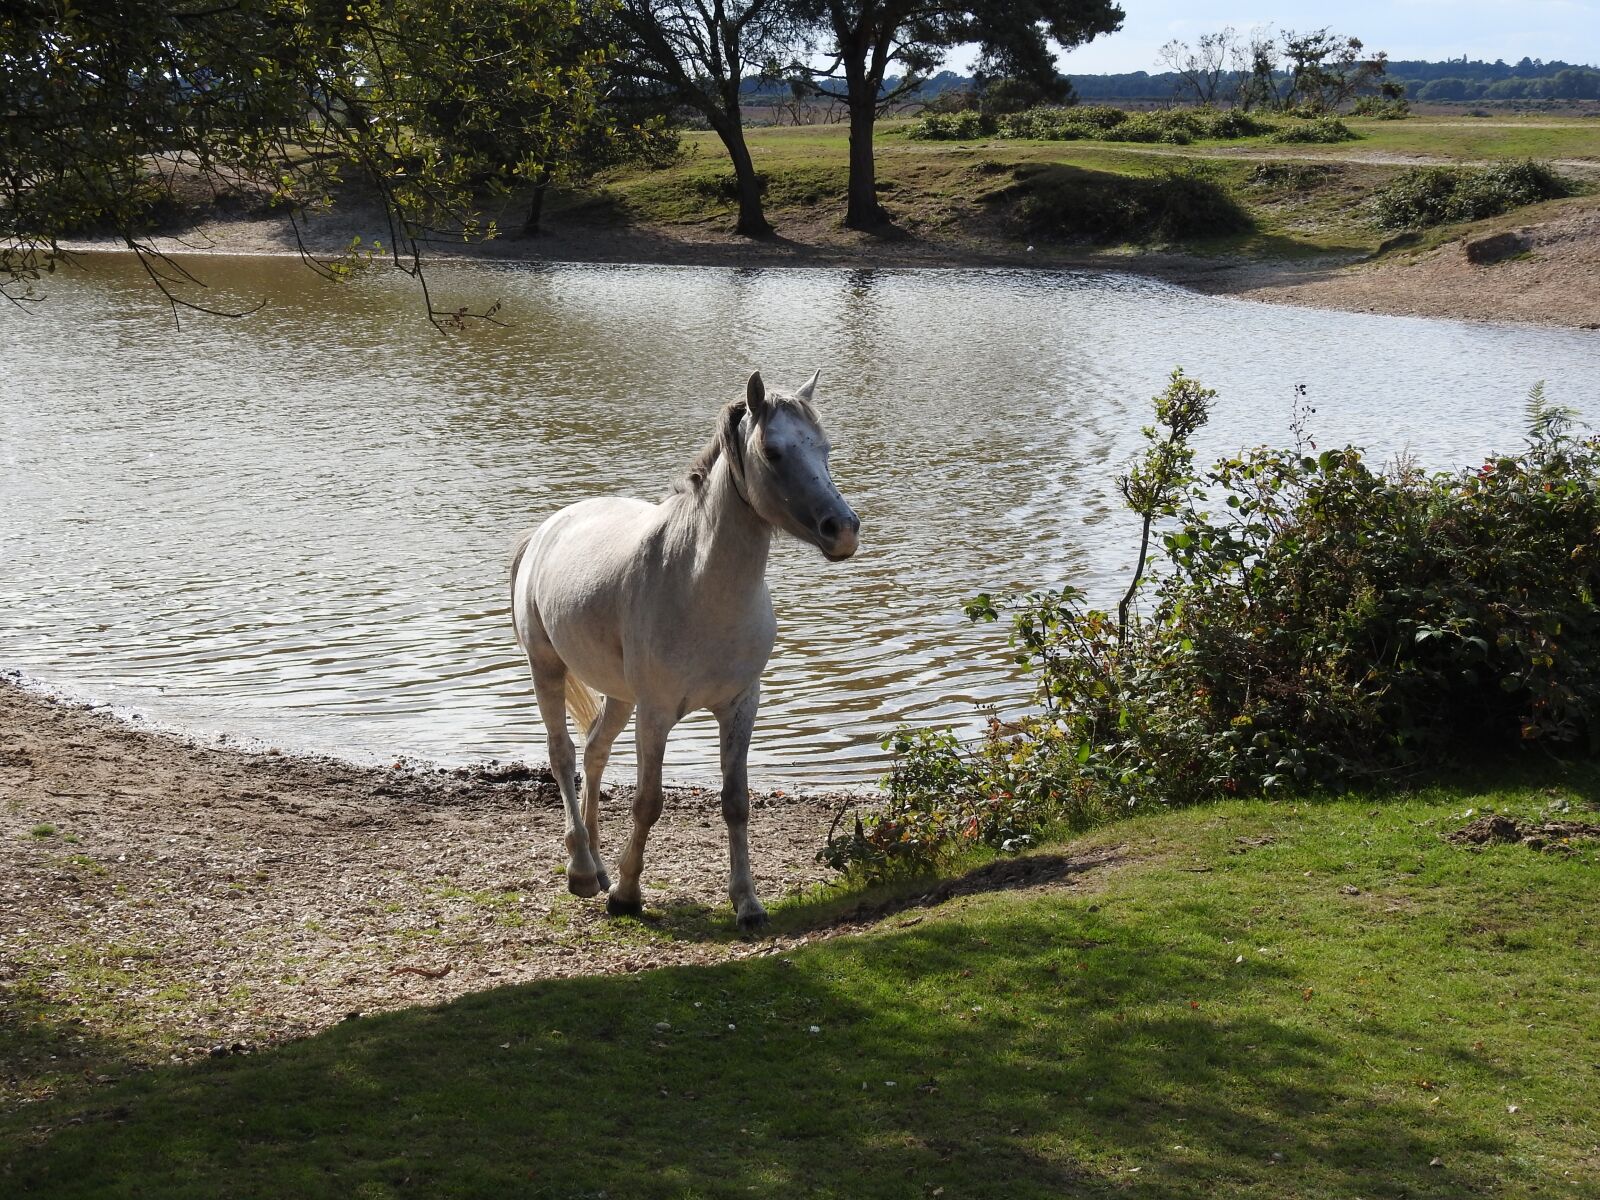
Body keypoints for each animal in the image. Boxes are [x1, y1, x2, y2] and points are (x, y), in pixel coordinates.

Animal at [510, 370, 861, 931]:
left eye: (824, 449)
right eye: (772, 451)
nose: (842, 529)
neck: (698, 585)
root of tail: (546, 529)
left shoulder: (740, 706)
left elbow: (735, 802)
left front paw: (747, 904)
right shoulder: (656, 714)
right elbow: (648, 802)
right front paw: (627, 895)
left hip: (620, 696)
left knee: (594, 752)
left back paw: (598, 865)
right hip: (548, 669)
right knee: (562, 756)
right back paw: (584, 871)